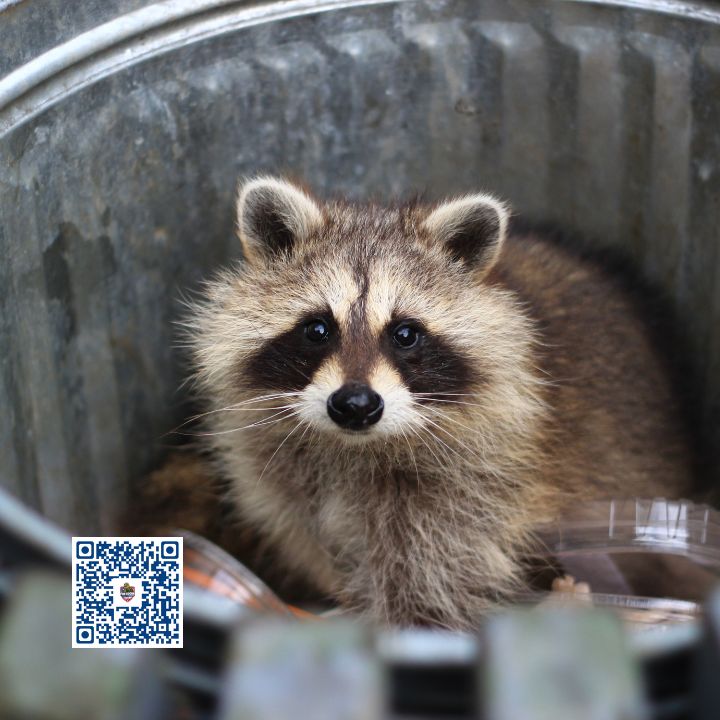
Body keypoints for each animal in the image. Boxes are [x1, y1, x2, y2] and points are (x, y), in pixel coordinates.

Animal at [186, 177, 694, 628]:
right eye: (317, 329)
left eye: (405, 334)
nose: (355, 404)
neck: (355, 448)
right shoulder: (282, 478)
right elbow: (310, 536)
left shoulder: (475, 490)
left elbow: (430, 581)